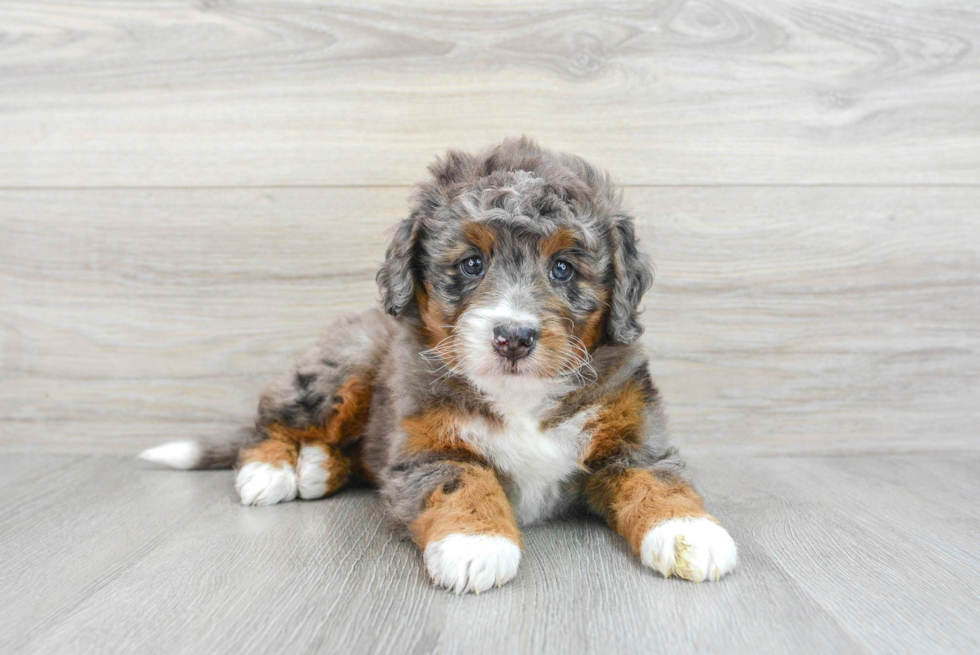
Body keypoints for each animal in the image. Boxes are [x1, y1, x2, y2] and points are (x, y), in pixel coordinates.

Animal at [142, 137, 740, 596]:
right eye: (472, 264)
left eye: (564, 269)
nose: (513, 337)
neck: (520, 395)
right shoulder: (427, 445)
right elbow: (461, 481)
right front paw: (477, 545)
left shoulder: (633, 432)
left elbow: (657, 478)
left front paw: (692, 533)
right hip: (344, 365)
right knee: (272, 420)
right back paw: (270, 470)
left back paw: (316, 468)